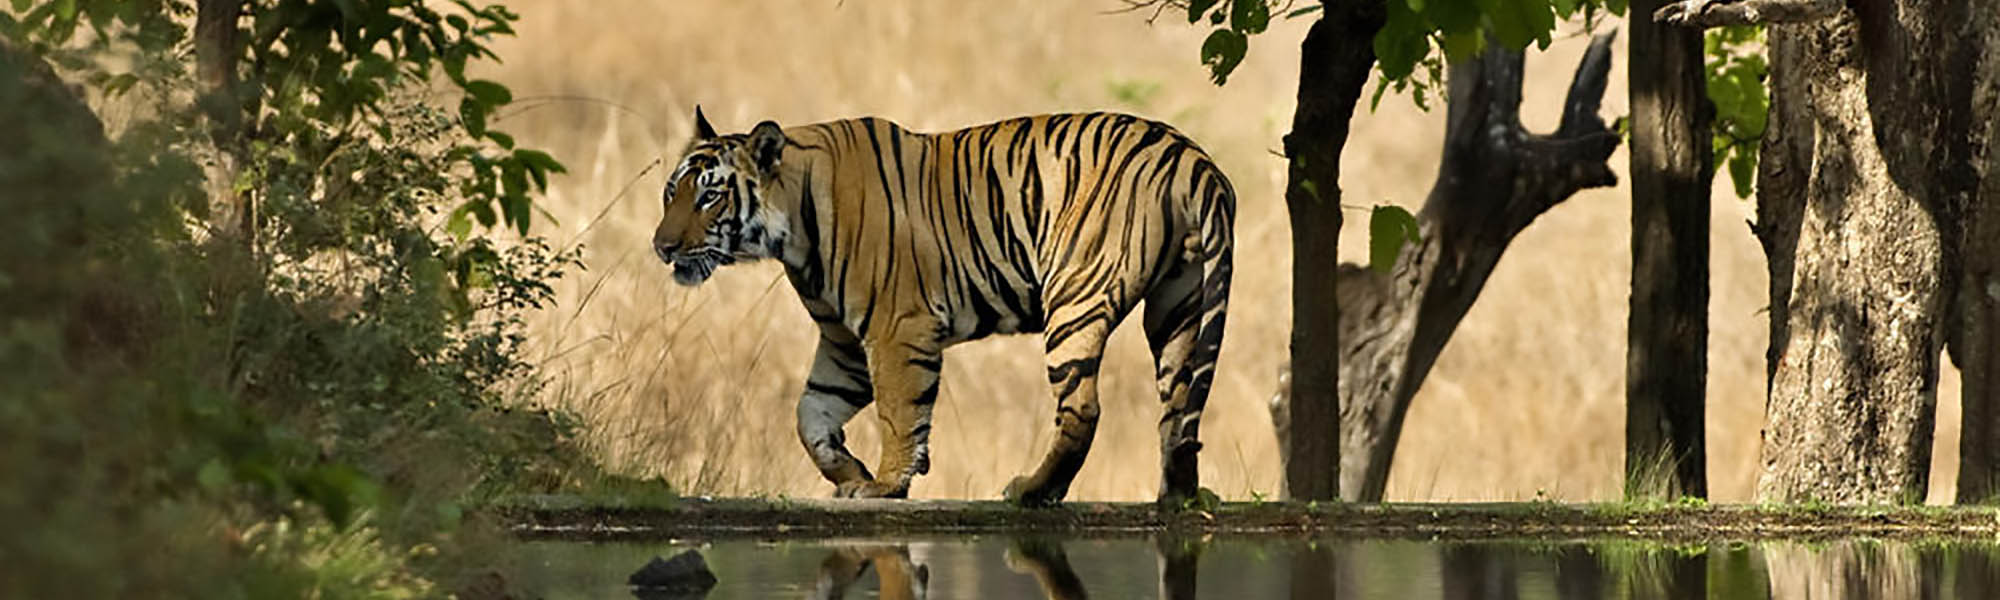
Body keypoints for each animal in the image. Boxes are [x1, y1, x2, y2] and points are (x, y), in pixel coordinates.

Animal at [652, 108, 1232, 506]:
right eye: (669, 193)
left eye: (710, 197)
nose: (662, 247)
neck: (794, 231)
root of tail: (1191, 157)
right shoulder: (843, 343)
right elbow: (810, 415)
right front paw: (850, 474)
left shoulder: (896, 328)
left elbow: (899, 412)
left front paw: (885, 484)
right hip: (1179, 306)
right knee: (1179, 408)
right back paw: (1175, 496)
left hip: (1075, 296)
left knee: (1083, 409)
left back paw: (1032, 490)